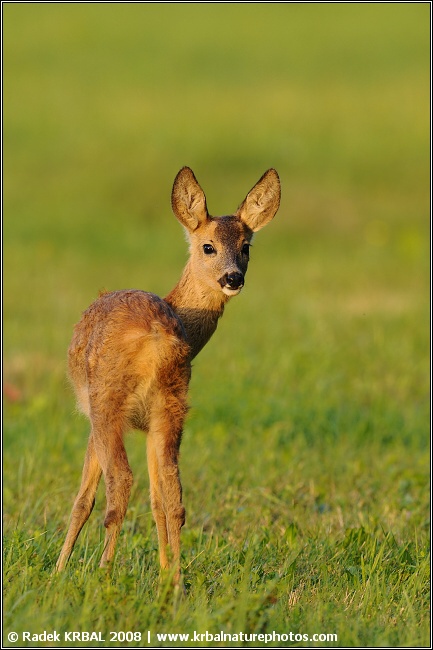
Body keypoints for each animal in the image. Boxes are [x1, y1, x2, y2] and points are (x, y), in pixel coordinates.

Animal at [55, 166, 281, 582]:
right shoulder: (150, 423)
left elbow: (83, 498)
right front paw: (165, 571)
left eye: (246, 247)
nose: (233, 278)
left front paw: (59, 571)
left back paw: (104, 573)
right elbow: (159, 499)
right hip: (173, 405)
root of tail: (160, 337)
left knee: (119, 485)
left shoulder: (95, 414)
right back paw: (176, 583)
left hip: (107, 401)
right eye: (209, 246)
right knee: (175, 499)